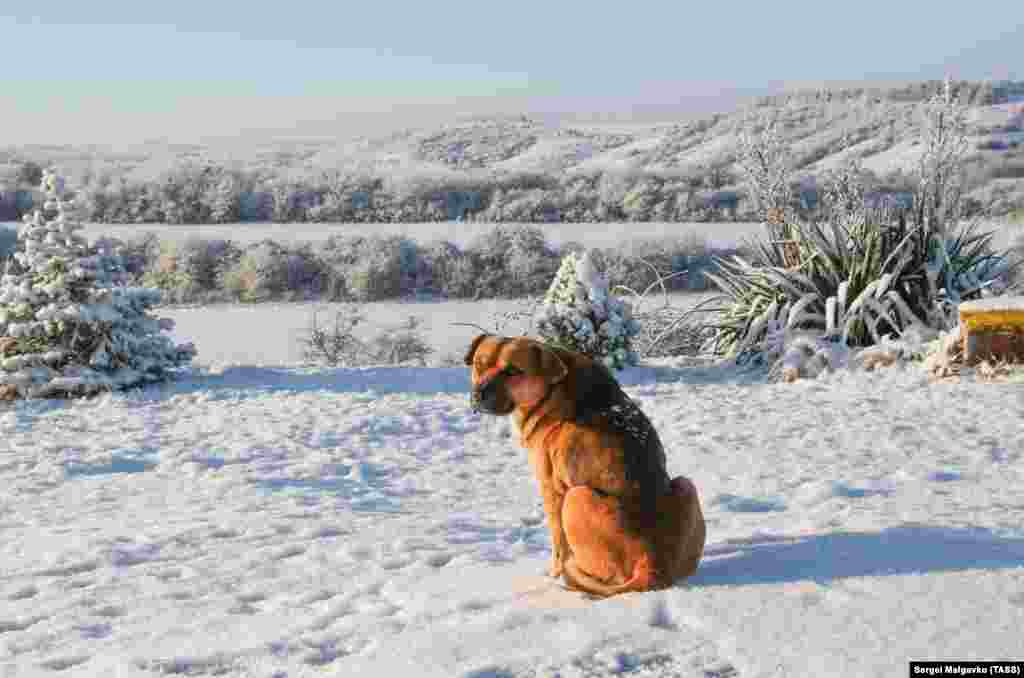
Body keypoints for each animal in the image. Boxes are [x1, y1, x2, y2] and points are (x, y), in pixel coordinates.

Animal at [464, 337, 704, 598]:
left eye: (513, 371)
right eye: (479, 364)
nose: (478, 394)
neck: (551, 389)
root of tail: (652, 565)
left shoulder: (551, 490)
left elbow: (558, 545)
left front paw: (554, 574)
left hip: (576, 497)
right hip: (686, 486)